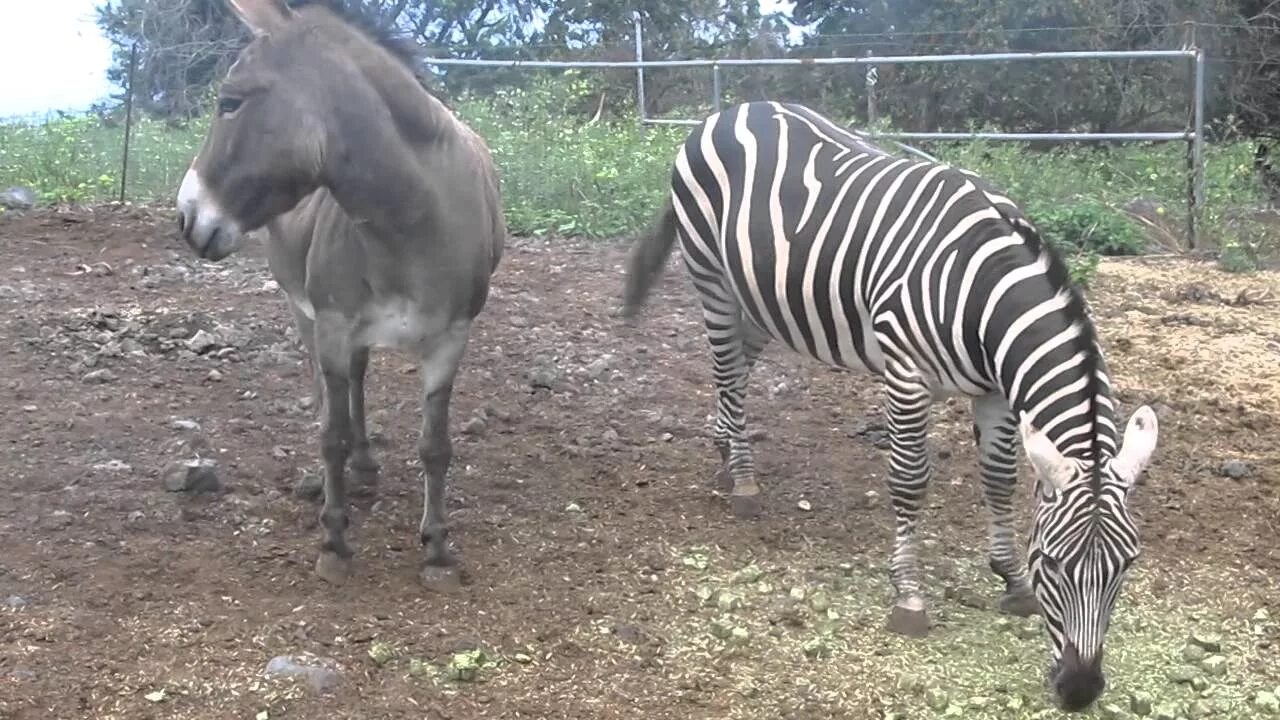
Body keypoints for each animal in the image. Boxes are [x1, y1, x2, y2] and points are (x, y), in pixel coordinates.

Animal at [619, 102, 1162, 712]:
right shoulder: (905, 375)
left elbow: (999, 481)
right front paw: (909, 598)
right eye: (1052, 561)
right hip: (711, 276)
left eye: (1128, 565)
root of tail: (731, 110)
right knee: (726, 373)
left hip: (761, 296)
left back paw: (723, 452)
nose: (1079, 691)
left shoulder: (996, 392)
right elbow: (909, 481)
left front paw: (1011, 580)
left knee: (737, 363)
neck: (982, 295)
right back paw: (743, 482)